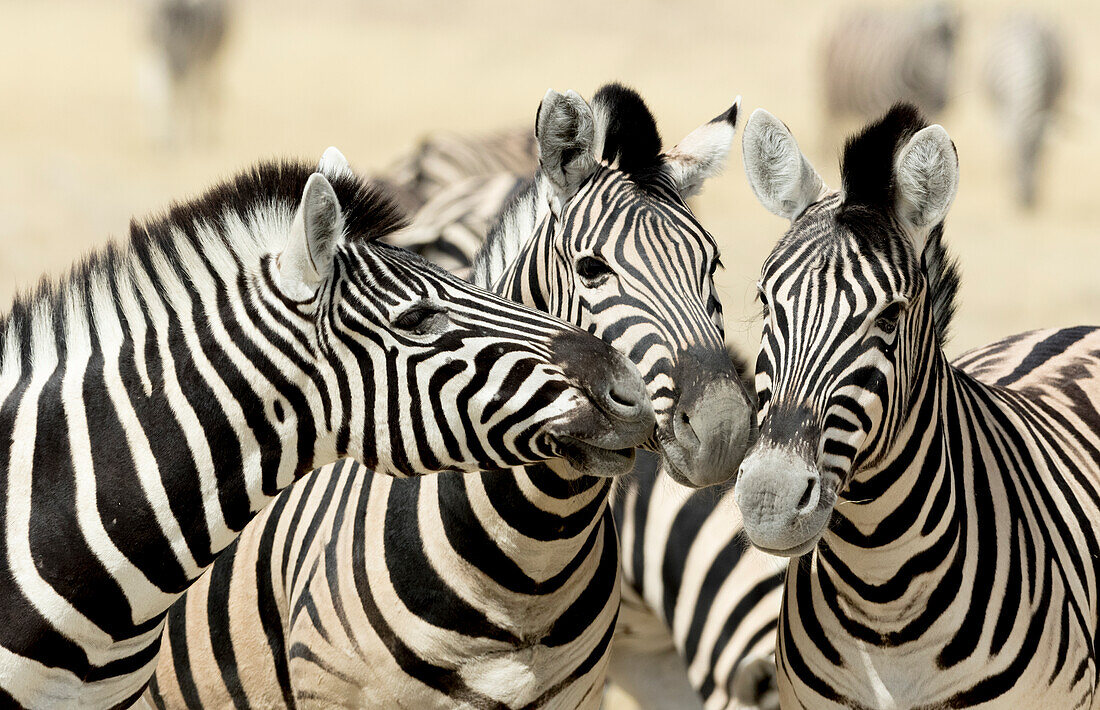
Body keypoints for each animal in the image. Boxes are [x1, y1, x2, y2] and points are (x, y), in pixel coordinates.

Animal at [141, 0, 232, 146]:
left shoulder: (194, 60)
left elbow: (189, 98)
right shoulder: (155, 57)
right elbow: (158, 98)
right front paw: (163, 138)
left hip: (210, 61)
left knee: (208, 94)